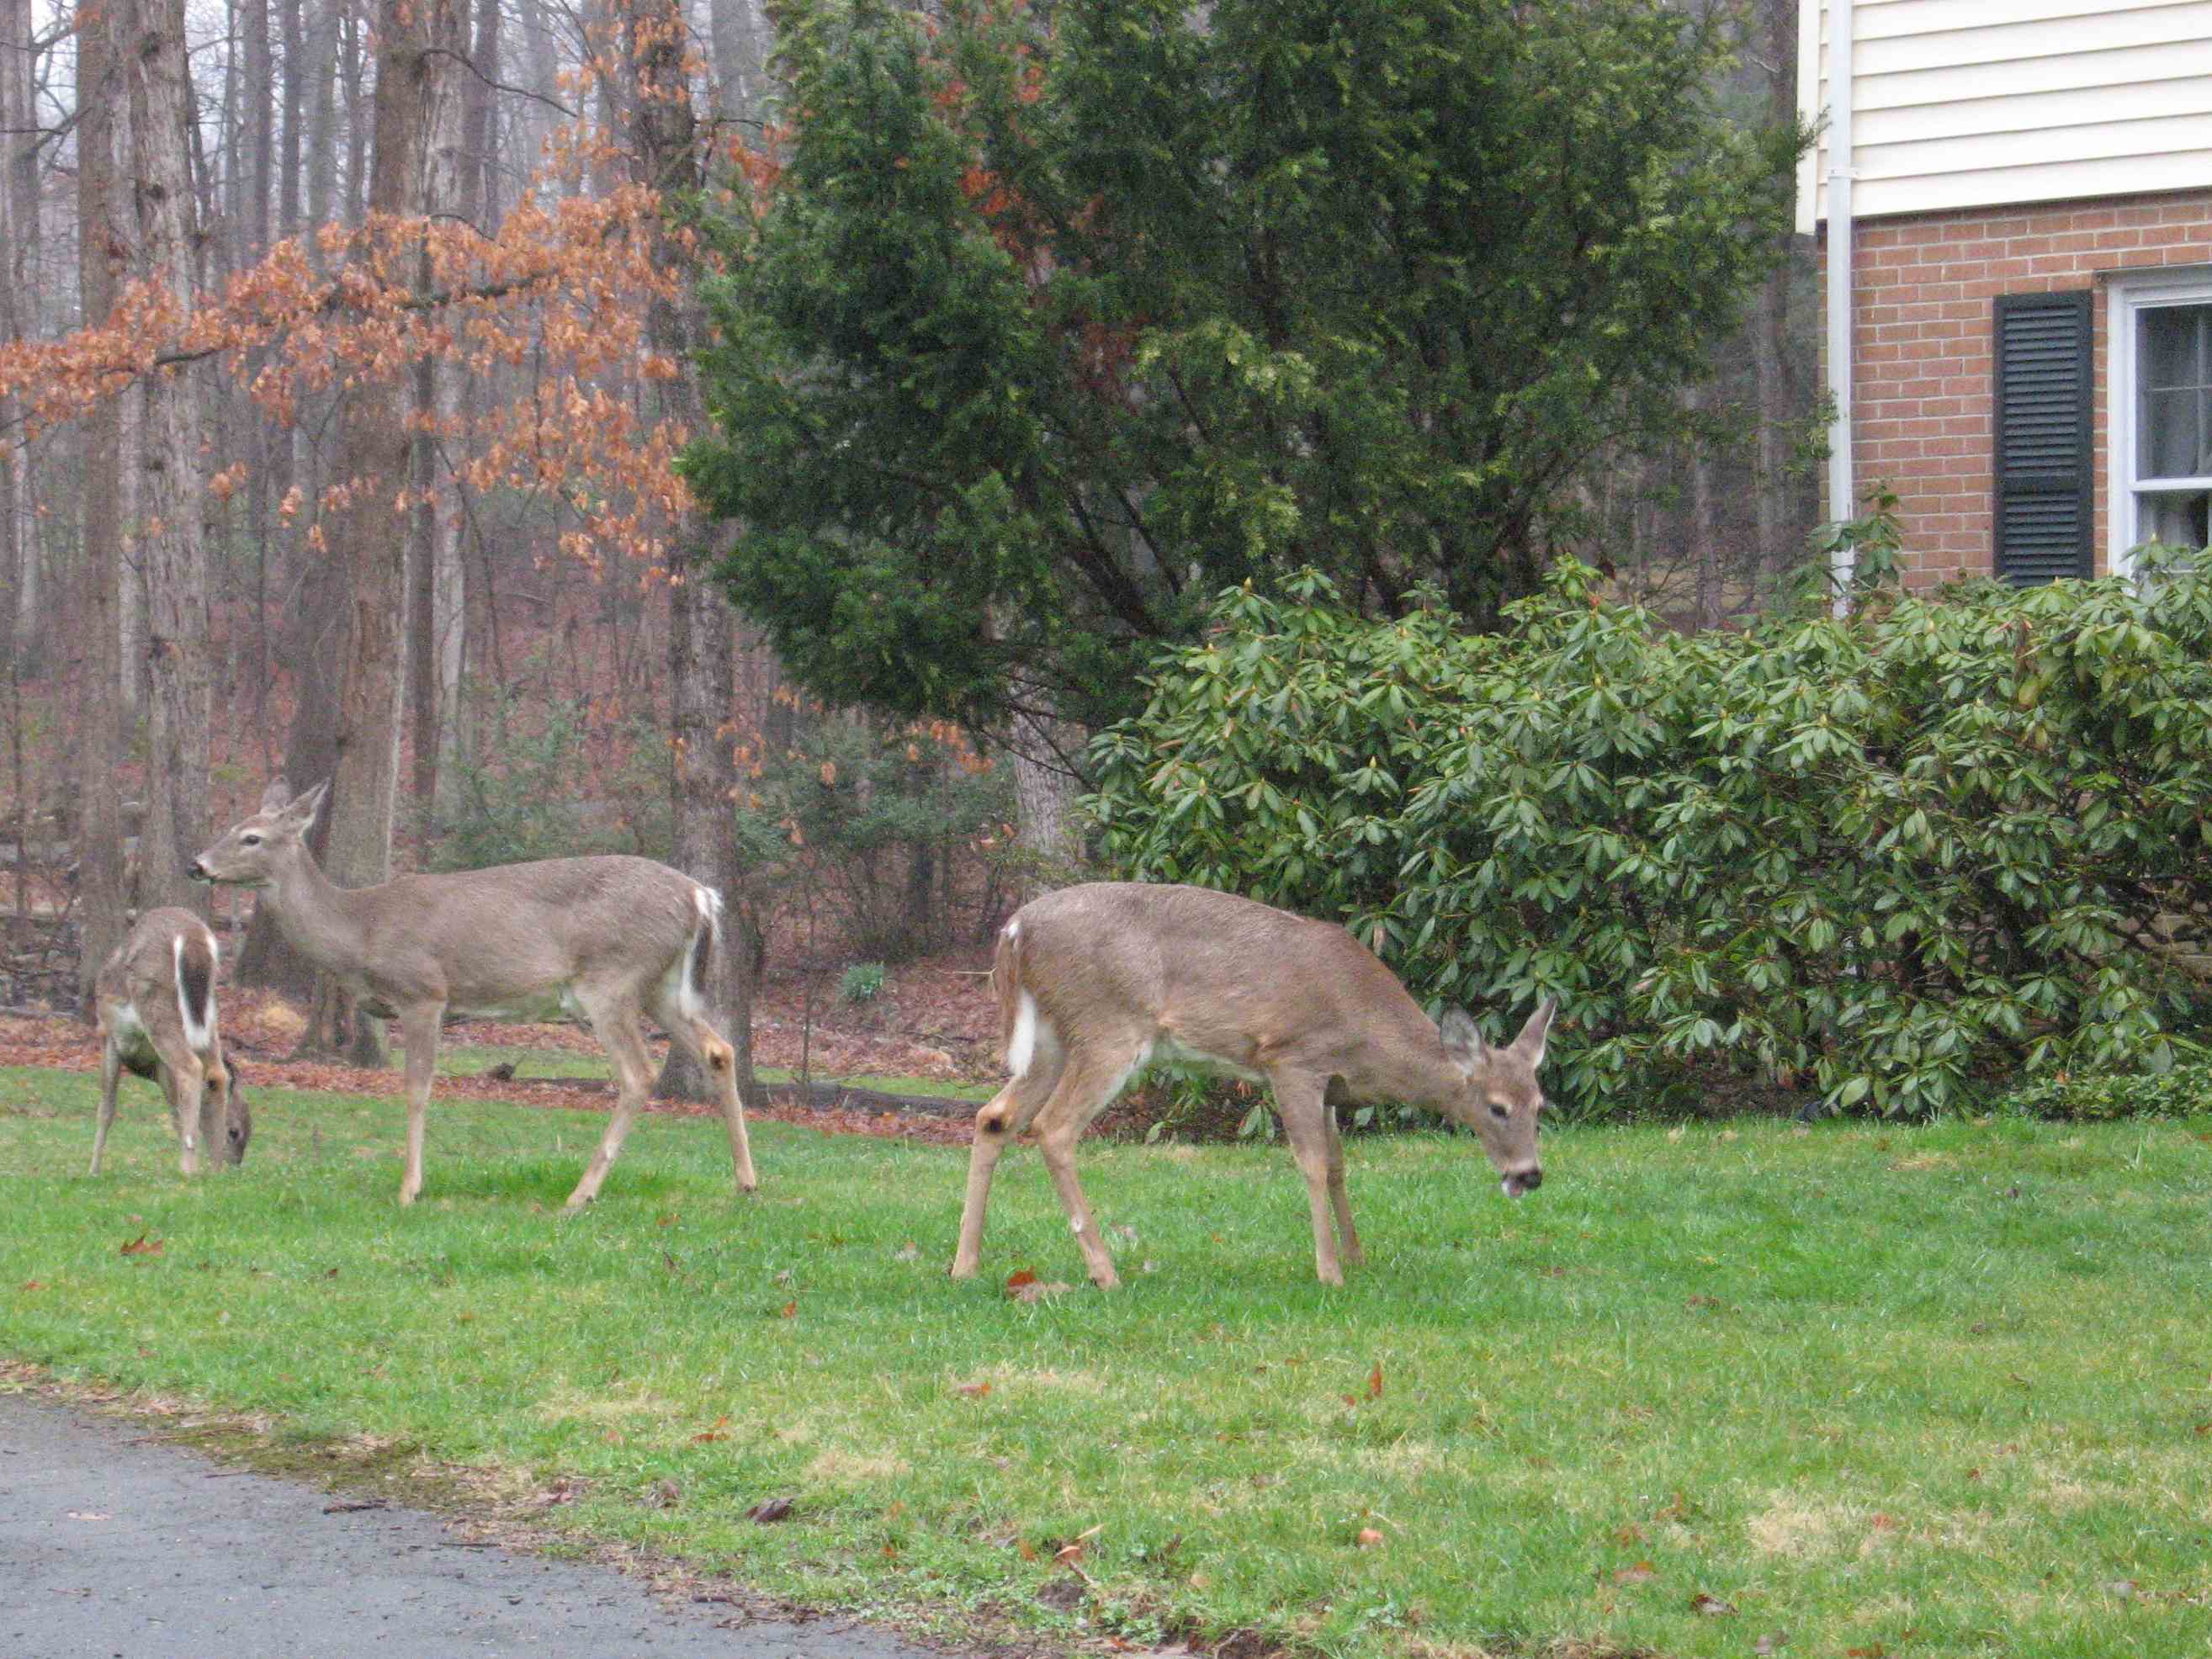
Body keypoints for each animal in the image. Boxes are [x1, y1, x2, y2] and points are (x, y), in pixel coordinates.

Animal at [91, 907, 252, 1176]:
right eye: (235, 1132)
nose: (236, 1163)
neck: (148, 1070)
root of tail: (193, 935)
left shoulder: (108, 1035)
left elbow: (107, 1107)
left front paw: (93, 1170)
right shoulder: (159, 1067)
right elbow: (176, 1111)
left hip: (156, 1004)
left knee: (191, 1067)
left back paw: (188, 1169)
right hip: (210, 1014)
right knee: (216, 1074)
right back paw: (213, 1169)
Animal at [188, 780, 756, 1211]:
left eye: (252, 838)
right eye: (232, 828)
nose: (196, 865)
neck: (360, 930)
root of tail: (700, 895)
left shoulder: (424, 991)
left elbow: (417, 1088)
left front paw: (409, 1189)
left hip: (611, 978)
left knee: (638, 1074)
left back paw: (580, 1195)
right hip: (662, 985)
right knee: (718, 1049)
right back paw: (745, 1183)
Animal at [949, 882, 1557, 1288]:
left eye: (1539, 1103)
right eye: (1497, 1107)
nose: (1528, 1175)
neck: (1366, 1033)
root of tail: (1015, 931)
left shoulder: (1330, 1085)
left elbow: (1339, 1166)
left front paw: (1357, 1258)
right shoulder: (1292, 1059)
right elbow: (1311, 1163)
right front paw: (1330, 1272)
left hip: (1054, 1037)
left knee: (995, 1116)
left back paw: (965, 1266)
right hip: (1107, 1025)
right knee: (1053, 1128)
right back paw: (1105, 1272)